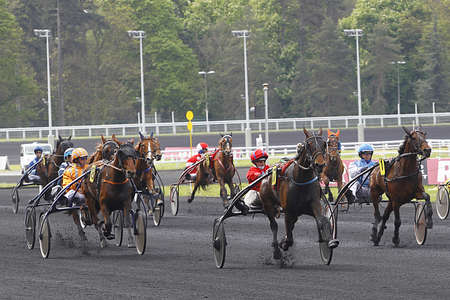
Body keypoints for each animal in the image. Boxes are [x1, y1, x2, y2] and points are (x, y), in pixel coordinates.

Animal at [260, 127, 338, 258]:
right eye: (309, 144)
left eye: (324, 144)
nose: (320, 164)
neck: (301, 180)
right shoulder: (288, 210)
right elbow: (289, 237)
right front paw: (284, 243)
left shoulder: (314, 203)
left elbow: (322, 220)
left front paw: (329, 242)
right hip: (267, 204)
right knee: (274, 225)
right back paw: (276, 250)